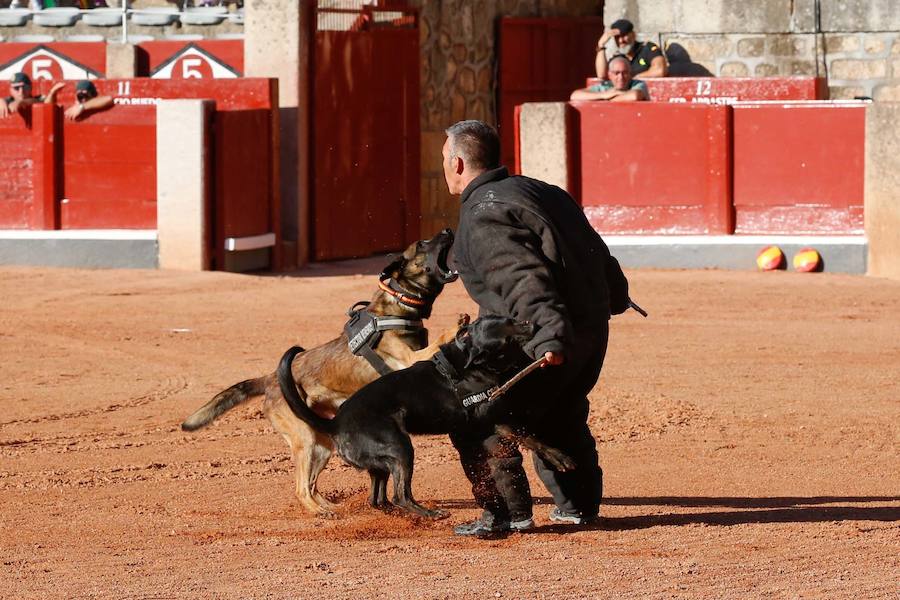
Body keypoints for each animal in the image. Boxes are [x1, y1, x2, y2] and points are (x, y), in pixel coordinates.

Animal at [184, 227, 464, 512]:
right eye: (421, 244)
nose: (447, 230)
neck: (398, 305)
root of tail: (271, 379)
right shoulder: (409, 359)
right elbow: (440, 340)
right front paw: (457, 325)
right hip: (305, 441)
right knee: (300, 488)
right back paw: (320, 512)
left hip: (323, 445)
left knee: (311, 484)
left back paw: (330, 507)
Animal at [274, 316, 572, 516]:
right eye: (507, 339)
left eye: (512, 319)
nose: (534, 325)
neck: (467, 364)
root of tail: (334, 422)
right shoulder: (491, 419)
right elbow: (528, 434)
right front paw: (561, 457)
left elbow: (529, 435)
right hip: (400, 449)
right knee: (400, 496)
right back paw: (429, 514)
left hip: (381, 464)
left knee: (378, 499)